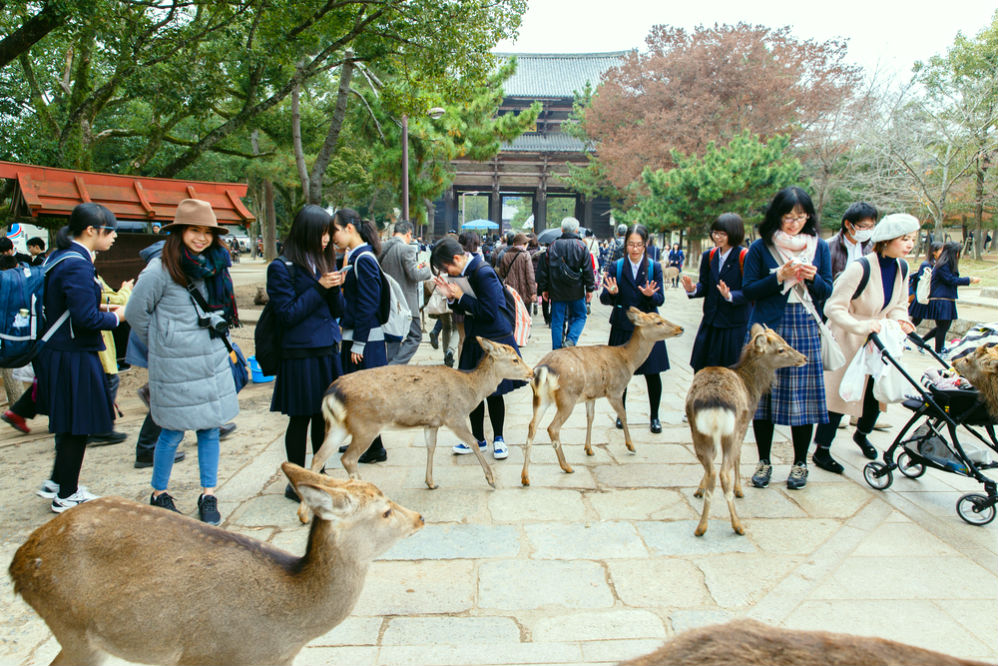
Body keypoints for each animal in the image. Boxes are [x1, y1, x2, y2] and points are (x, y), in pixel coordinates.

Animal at [300, 338, 536, 520]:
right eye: (515, 359)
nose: (532, 372)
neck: (470, 390)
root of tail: (331, 393)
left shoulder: (431, 422)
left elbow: (430, 447)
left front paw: (431, 483)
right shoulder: (454, 416)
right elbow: (473, 443)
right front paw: (491, 480)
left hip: (337, 426)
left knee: (318, 458)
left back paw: (303, 514)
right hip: (365, 425)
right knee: (347, 458)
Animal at [520, 308, 684, 486]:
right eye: (658, 322)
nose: (680, 328)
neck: (628, 361)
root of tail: (543, 369)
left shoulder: (591, 396)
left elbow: (590, 417)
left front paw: (589, 449)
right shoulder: (615, 390)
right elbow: (623, 415)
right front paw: (631, 446)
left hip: (540, 399)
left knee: (532, 426)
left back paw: (525, 477)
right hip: (567, 397)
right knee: (552, 428)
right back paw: (567, 466)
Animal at [688, 322, 812, 536]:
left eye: (785, 341)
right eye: (781, 349)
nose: (804, 357)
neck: (753, 385)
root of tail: (713, 401)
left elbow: (713, 462)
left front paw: (699, 490)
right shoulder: (745, 422)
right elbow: (738, 456)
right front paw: (740, 490)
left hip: (697, 430)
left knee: (712, 470)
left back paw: (701, 527)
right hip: (731, 429)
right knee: (723, 473)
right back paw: (737, 525)